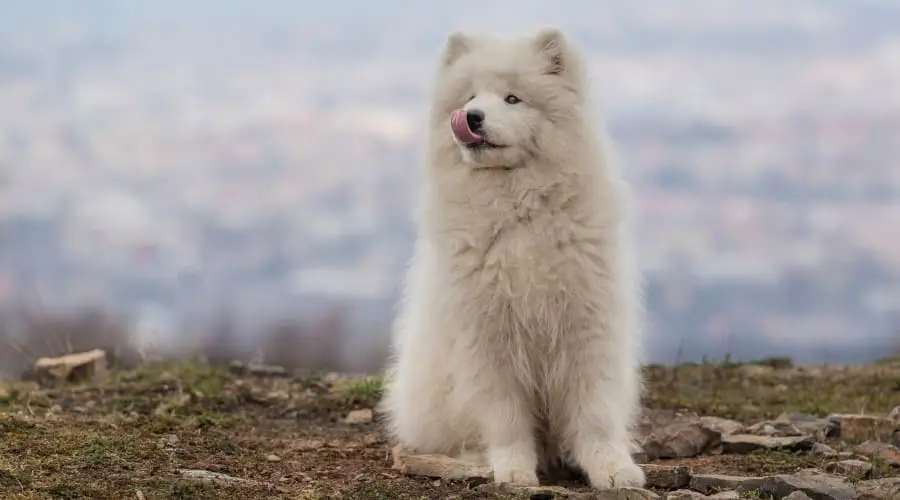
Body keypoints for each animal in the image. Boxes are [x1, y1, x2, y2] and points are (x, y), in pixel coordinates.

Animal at [380, 27, 648, 488]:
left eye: (512, 99)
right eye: (469, 97)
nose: (470, 117)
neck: (518, 208)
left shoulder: (587, 329)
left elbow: (594, 414)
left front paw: (612, 469)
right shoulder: (488, 340)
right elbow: (505, 419)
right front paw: (515, 470)